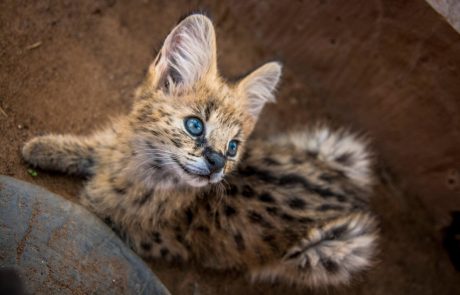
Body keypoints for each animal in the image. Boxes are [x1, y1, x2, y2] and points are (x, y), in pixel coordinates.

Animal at [22, 14, 378, 290]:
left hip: (338, 247)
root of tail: (350, 196)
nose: (217, 162)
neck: (138, 164)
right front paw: (40, 147)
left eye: (233, 148)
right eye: (195, 126)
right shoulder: (113, 144)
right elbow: (91, 147)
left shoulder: (153, 239)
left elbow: (98, 207)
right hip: (333, 148)